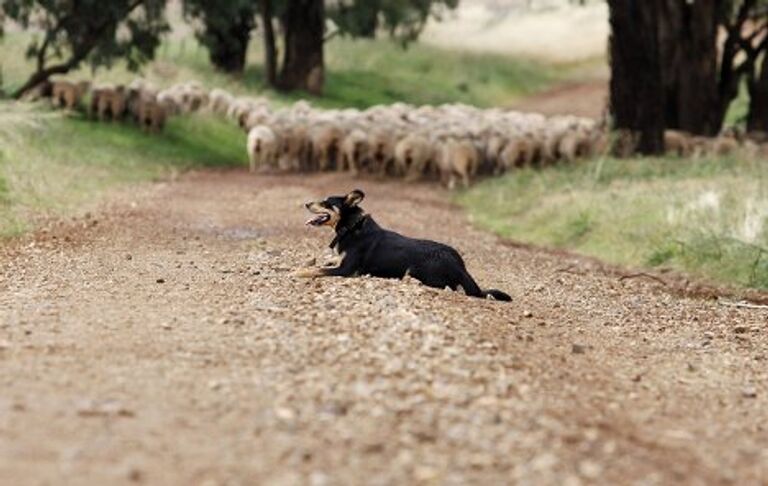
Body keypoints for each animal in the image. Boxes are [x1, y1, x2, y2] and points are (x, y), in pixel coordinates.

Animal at [296, 189, 512, 300]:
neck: (351, 226)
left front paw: (297, 272)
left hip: (416, 270)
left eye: (326, 202)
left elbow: (318, 270)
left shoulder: (347, 270)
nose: (306, 204)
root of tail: (461, 266)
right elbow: (323, 264)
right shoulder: (341, 263)